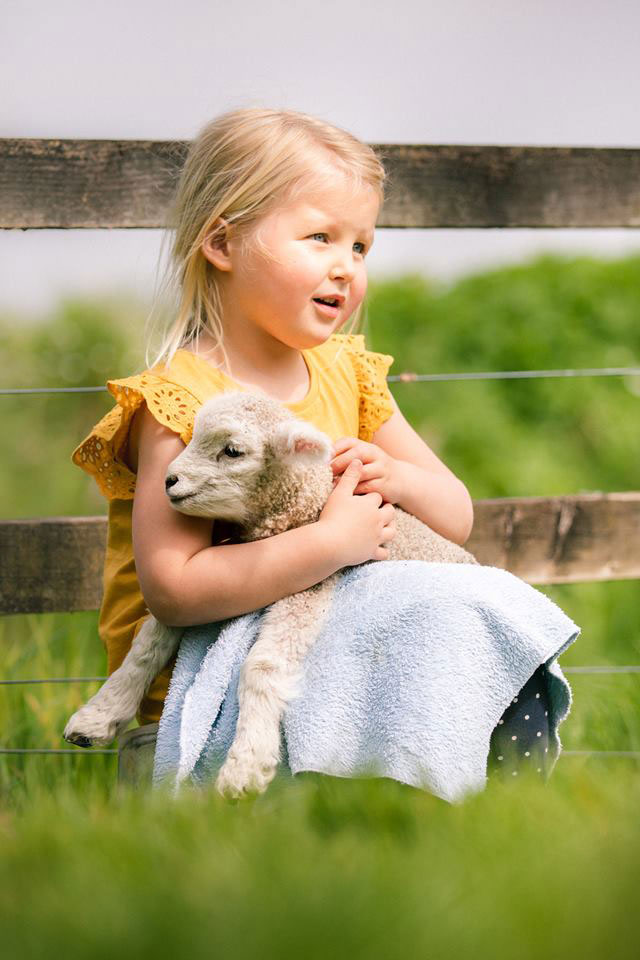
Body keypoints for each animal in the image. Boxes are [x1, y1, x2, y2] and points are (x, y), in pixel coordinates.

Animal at [65, 388, 478, 796]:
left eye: (232, 451)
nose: (169, 481)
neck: (305, 506)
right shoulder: (197, 597)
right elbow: (148, 644)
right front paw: (96, 718)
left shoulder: (308, 586)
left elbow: (263, 666)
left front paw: (246, 767)